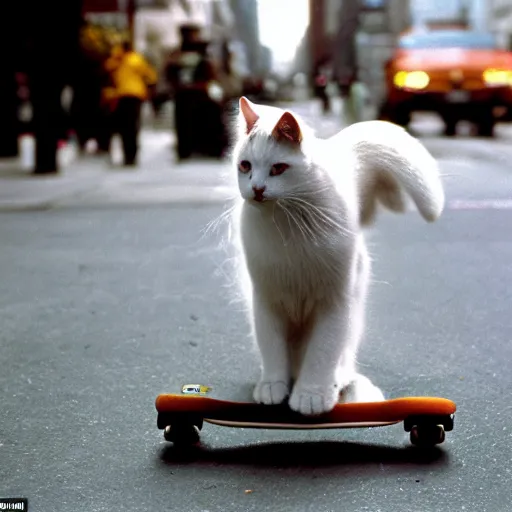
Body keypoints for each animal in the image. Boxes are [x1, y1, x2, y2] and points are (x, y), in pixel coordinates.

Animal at [232, 96, 444, 416]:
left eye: (278, 168)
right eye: (245, 166)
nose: (256, 189)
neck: (288, 225)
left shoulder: (334, 302)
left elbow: (322, 353)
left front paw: (311, 395)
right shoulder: (267, 300)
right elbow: (272, 349)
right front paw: (272, 385)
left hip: (353, 309)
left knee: (341, 356)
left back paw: (337, 381)